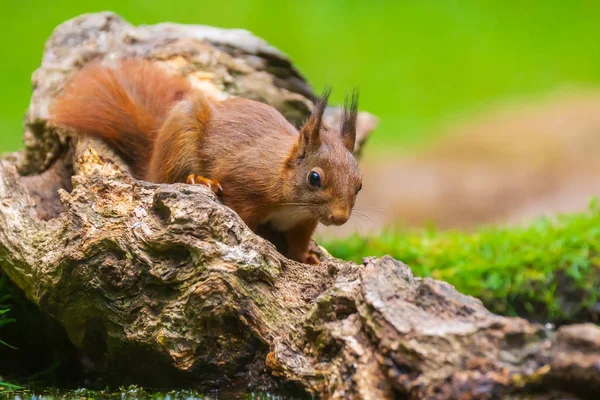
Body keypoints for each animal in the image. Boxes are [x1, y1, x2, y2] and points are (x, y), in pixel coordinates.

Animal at [49, 59, 360, 264]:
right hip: (181, 139)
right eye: (314, 178)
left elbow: (298, 243)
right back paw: (197, 179)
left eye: (359, 186)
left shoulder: (303, 222)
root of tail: (153, 157)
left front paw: (306, 258)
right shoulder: (244, 185)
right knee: (165, 177)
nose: (340, 217)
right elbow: (245, 220)